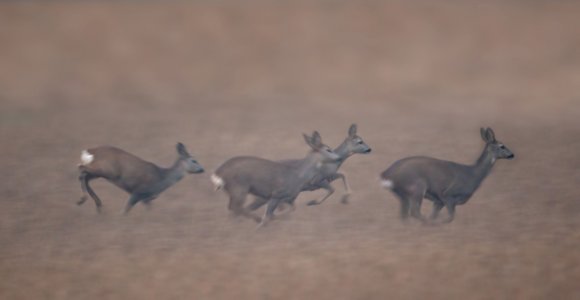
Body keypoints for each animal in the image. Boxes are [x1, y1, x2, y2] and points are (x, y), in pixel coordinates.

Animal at [211, 131, 340, 227]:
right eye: (328, 149)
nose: (338, 157)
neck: (299, 175)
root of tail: (219, 173)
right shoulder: (276, 194)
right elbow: (270, 215)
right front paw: (266, 223)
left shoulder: (288, 198)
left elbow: (291, 209)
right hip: (239, 187)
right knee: (236, 207)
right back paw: (256, 220)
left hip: (234, 190)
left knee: (233, 208)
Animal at [382, 127, 516, 224]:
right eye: (502, 146)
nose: (512, 154)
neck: (472, 175)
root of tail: (387, 174)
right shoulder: (447, 195)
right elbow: (450, 218)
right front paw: (438, 224)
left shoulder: (439, 201)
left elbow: (435, 215)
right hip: (417, 186)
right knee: (414, 212)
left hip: (402, 194)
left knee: (403, 215)